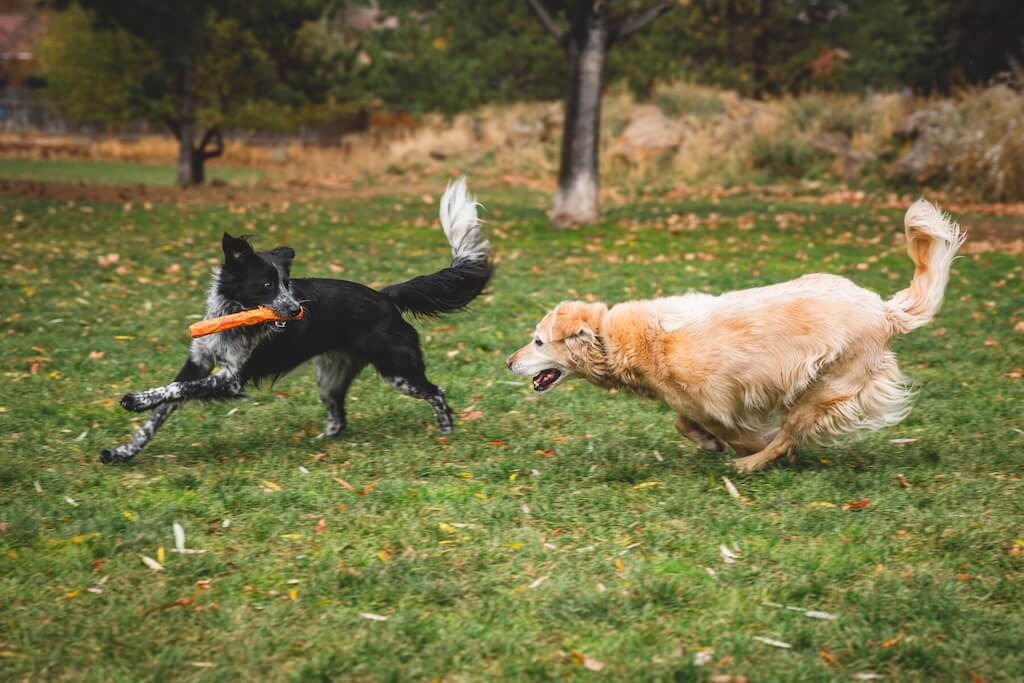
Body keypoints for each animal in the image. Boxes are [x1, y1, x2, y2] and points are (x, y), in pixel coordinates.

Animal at [101, 179, 493, 462]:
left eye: (286, 284)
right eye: (266, 285)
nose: (295, 310)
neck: (234, 317)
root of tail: (385, 296)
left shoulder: (229, 379)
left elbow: (176, 391)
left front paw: (136, 400)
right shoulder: (199, 362)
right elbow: (162, 408)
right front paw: (124, 450)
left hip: (398, 370)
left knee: (437, 393)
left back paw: (446, 431)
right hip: (330, 378)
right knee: (339, 419)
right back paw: (317, 443)